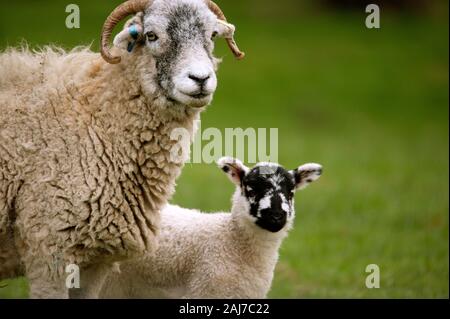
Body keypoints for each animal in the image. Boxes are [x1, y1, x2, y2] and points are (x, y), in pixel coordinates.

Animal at [0, 0, 243, 300]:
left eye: (212, 35)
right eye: (151, 35)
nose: (200, 79)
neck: (95, 114)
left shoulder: (95, 260)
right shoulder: (47, 249)